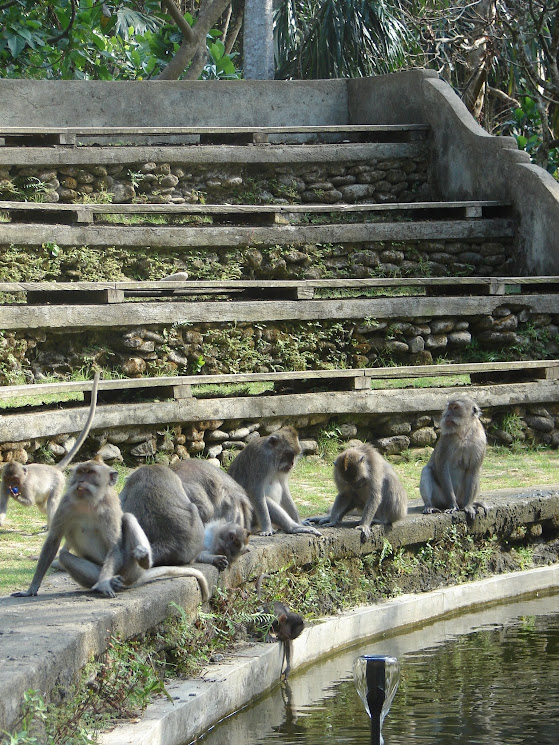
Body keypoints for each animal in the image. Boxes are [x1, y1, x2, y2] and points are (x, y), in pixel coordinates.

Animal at [0, 370, 100, 528]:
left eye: (15, 479)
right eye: (9, 479)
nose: (12, 486)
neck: (22, 479)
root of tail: (54, 468)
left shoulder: (27, 485)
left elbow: (29, 502)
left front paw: (15, 496)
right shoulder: (3, 485)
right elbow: (2, 506)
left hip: (58, 483)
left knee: (52, 502)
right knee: (42, 505)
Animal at [12, 456, 210, 600]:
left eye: (90, 472)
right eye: (81, 471)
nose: (80, 481)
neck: (87, 503)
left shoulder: (109, 507)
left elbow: (114, 545)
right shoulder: (65, 504)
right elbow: (53, 541)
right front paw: (31, 589)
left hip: (129, 569)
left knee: (128, 519)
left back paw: (143, 560)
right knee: (65, 557)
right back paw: (107, 584)